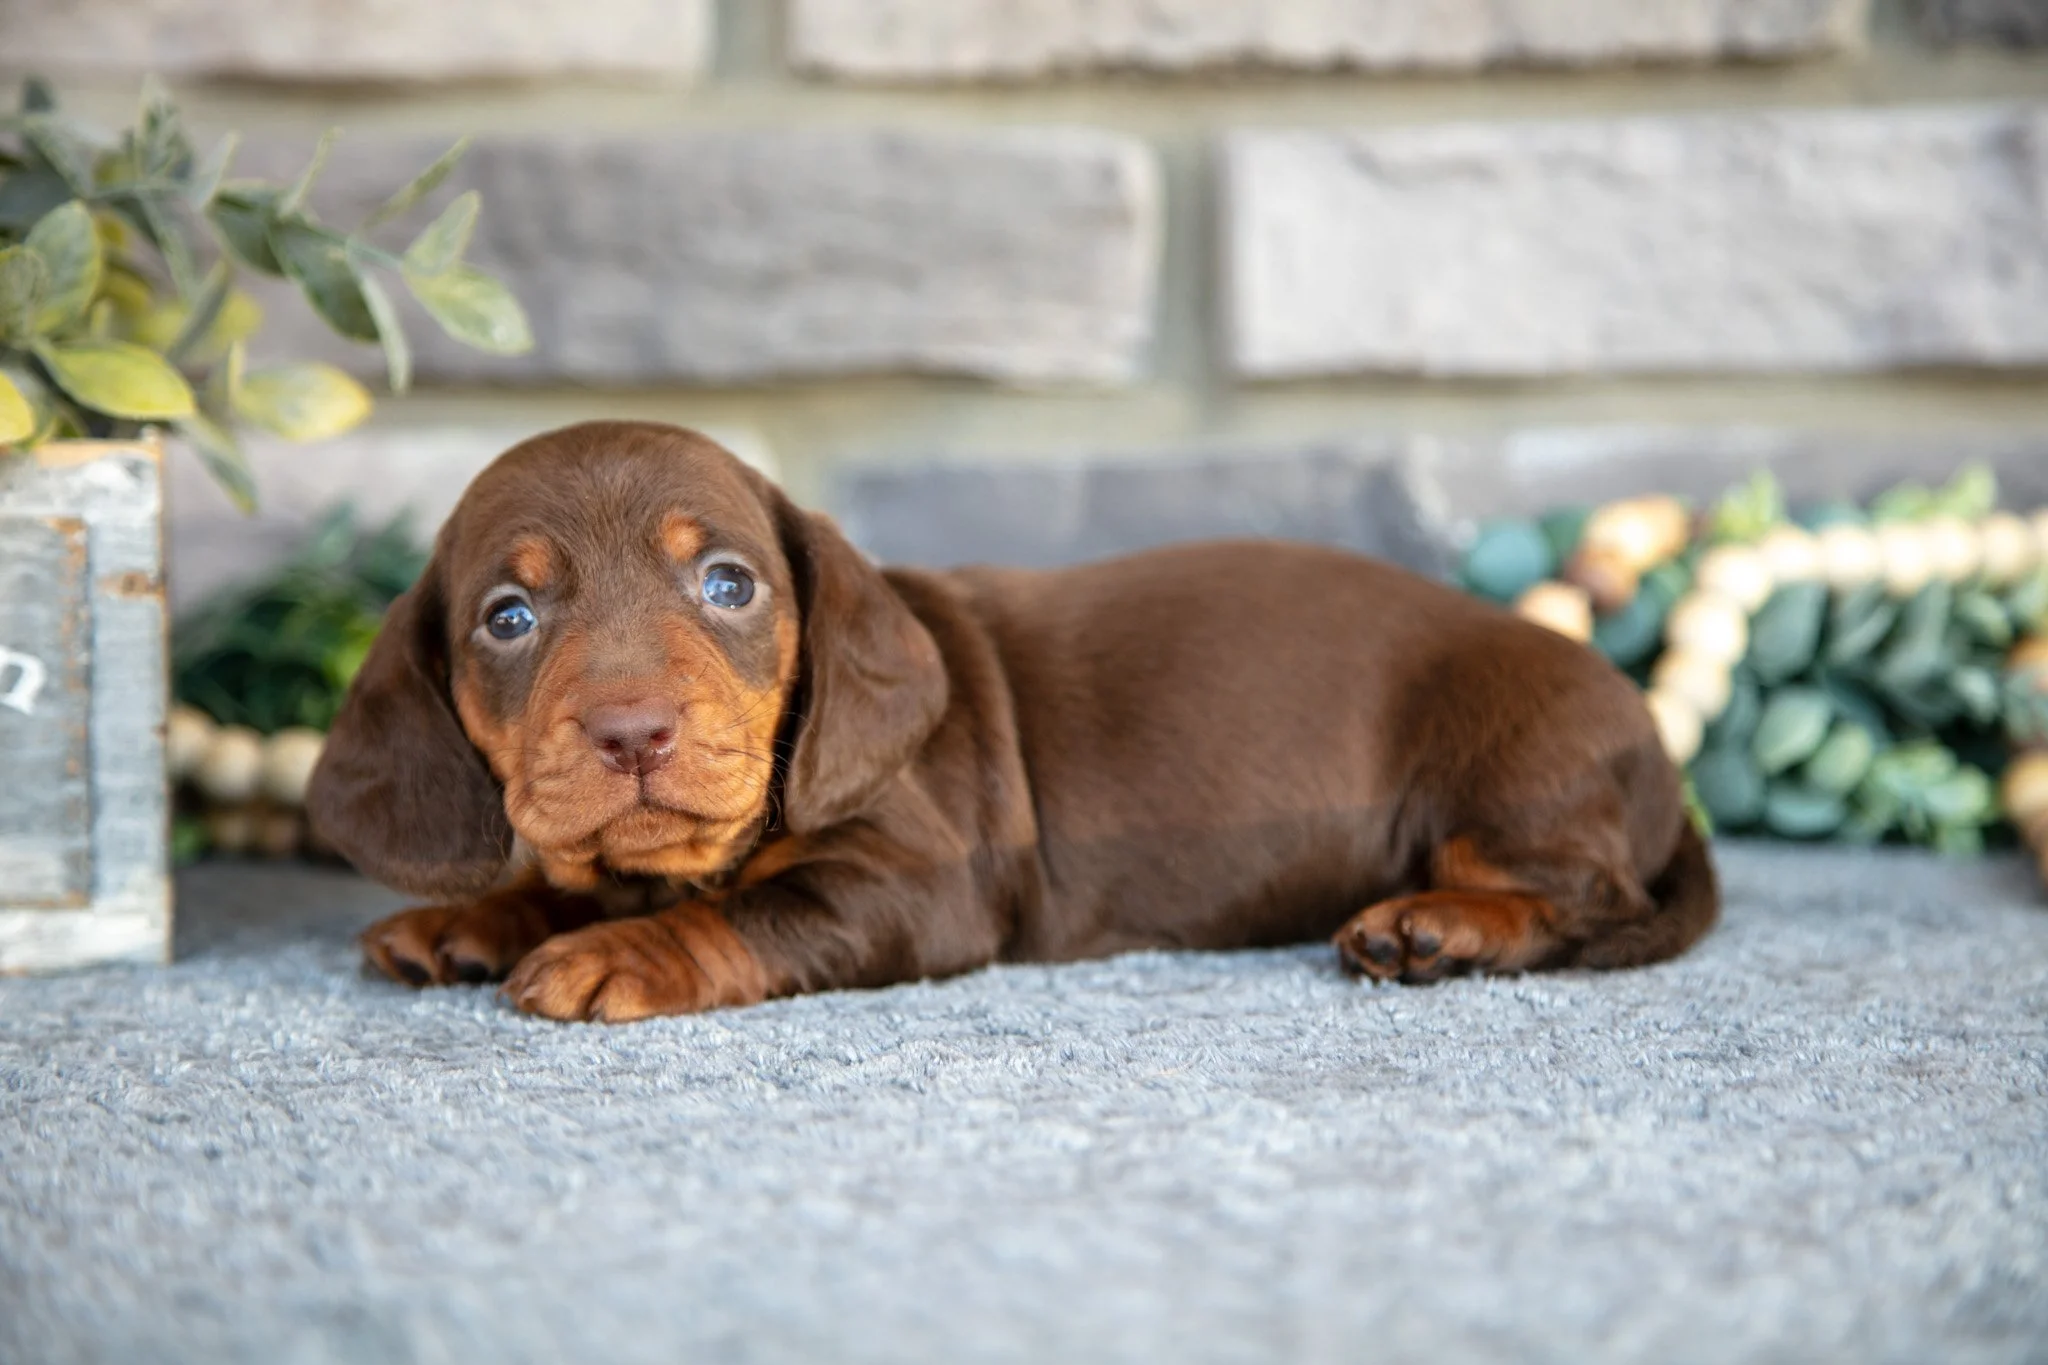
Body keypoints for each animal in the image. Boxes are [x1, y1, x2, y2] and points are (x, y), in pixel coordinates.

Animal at [307, 421, 1717, 1023]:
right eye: (505, 618)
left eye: (728, 585)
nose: (631, 734)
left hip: (1514, 779)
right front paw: (474, 917)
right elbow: (568, 883)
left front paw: (618, 954)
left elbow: (744, 912)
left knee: (1581, 896)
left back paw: (1439, 928)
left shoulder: (917, 884)